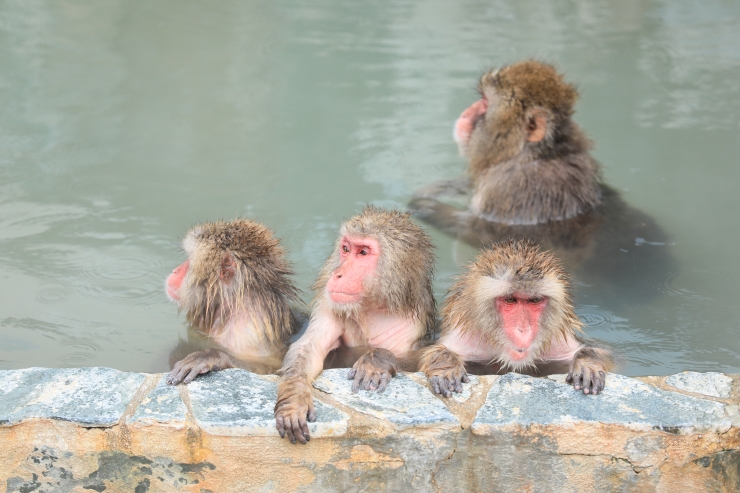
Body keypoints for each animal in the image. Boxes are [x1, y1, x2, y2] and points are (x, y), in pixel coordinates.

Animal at [274, 206, 436, 444]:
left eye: (363, 253)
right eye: (346, 249)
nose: (338, 274)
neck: (374, 306)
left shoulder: (413, 325)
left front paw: (377, 361)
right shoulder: (328, 305)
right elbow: (308, 348)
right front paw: (293, 399)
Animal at [422, 238, 612, 396]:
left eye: (534, 300)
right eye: (510, 299)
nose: (523, 329)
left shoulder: (556, 341)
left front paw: (587, 363)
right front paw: (445, 365)